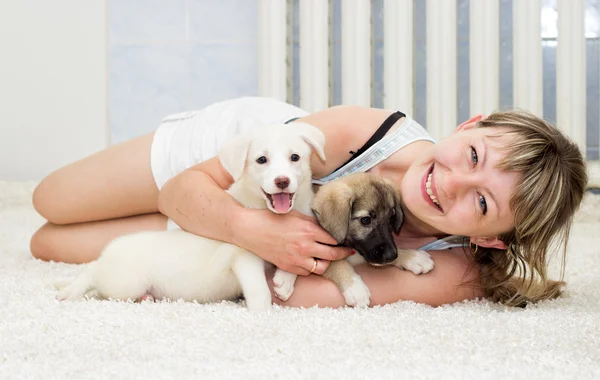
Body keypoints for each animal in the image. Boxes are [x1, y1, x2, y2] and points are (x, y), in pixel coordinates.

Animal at [56, 121, 326, 312]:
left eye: (295, 157)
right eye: (261, 160)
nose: (282, 181)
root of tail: (110, 252)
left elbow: (294, 265)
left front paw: (284, 281)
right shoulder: (244, 257)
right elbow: (259, 289)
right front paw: (263, 314)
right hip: (124, 282)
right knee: (93, 271)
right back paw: (71, 290)